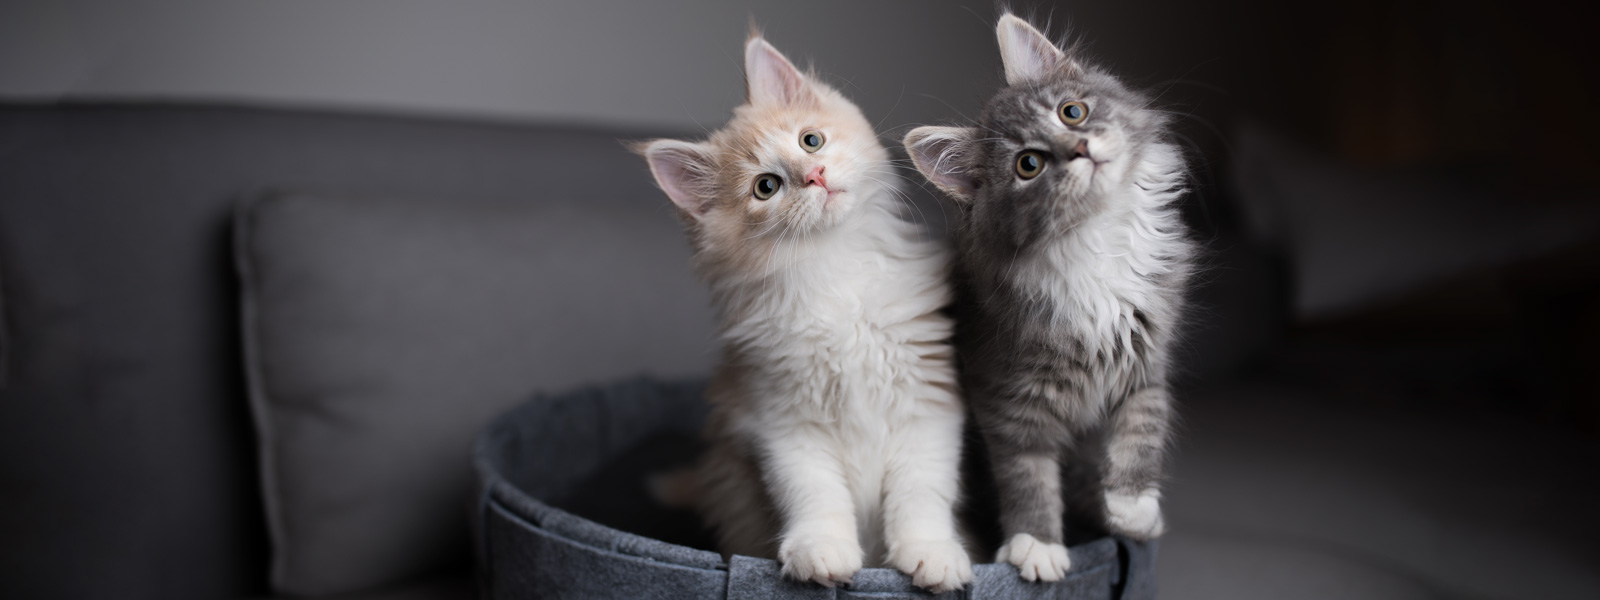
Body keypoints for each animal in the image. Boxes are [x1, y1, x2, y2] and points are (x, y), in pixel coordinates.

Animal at [636, 35, 972, 595]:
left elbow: (921, 491)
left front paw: (932, 552)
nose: (814, 175)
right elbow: (814, 493)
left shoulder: (927, 405)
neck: (834, 272)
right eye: (766, 187)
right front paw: (821, 551)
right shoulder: (782, 422)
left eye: (810, 141)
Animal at [908, 14, 1196, 585]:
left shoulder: (1146, 359)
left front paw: (1133, 507)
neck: (1094, 241)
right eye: (1029, 165)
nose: (1080, 149)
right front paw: (1036, 544)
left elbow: (1143, 427)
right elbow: (1027, 475)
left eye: (1072, 112)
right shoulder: (1007, 400)